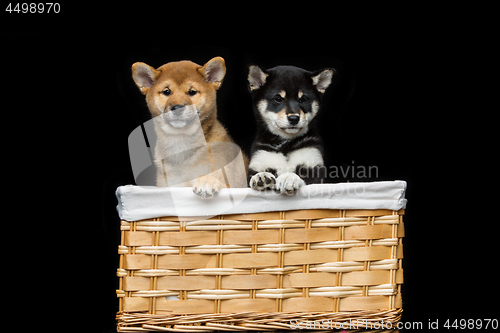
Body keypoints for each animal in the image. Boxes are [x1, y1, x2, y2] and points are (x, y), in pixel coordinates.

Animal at [132, 56, 247, 197]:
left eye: (192, 92)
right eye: (166, 91)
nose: (177, 108)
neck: (182, 142)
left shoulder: (235, 184)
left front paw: (206, 181)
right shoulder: (168, 185)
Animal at [247, 64, 334, 193]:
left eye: (303, 99)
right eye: (278, 99)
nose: (294, 118)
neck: (286, 144)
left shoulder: (314, 166)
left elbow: (302, 179)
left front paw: (289, 178)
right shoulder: (260, 160)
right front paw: (261, 177)